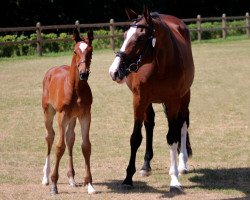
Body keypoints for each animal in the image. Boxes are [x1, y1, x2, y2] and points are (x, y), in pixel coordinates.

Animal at [41, 28, 95, 195]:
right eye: (75, 51)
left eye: (90, 51)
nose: (84, 73)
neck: (75, 89)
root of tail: (52, 70)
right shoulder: (62, 115)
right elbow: (59, 147)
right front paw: (54, 185)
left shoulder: (85, 115)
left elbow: (86, 146)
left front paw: (90, 184)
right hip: (48, 112)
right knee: (50, 137)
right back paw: (45, 177)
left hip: (72, 118)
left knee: (70, 138)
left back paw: (71, 178)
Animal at [108, 7, 194, 192]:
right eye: (125, 35)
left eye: (140, 38)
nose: (114, 71)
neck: (160, 66)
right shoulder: (139, 99)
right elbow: (135, 138)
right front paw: (128, 178)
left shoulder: (173, 101)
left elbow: (172, 137)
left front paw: (174, 179)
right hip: (148, 102)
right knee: (150, 124)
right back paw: (146, 165)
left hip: (185, 97)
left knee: (182, 124)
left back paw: (182, 163)